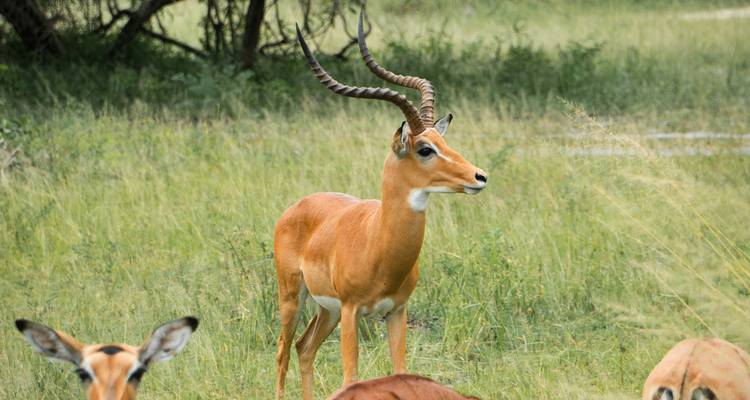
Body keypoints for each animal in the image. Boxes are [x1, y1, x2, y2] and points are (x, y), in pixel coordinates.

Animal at [274, 11, 488, 400]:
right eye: (424, 149)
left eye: (444, 142)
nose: (479, 177)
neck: (379, 245)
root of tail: (298, 205)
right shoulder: (351, 311)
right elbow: (351, 377)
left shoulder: (397, 312)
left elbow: (400, 371)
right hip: (293, 297)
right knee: (283, 350)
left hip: (325, 311)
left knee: (304, 348)